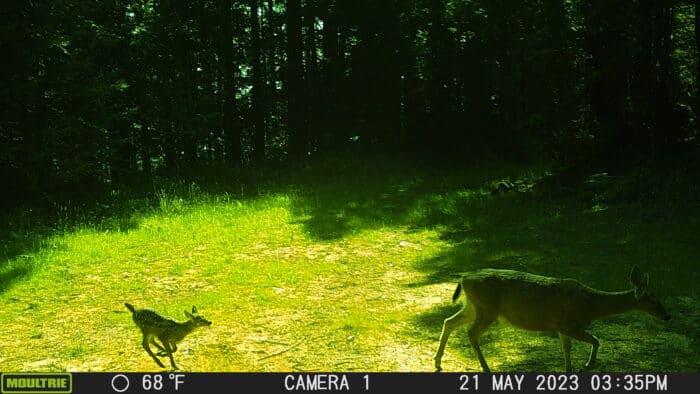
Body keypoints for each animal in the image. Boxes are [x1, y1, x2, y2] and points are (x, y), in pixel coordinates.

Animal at [434, 264, 668, 372]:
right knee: (471, 333)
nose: (667, 315)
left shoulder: (561, 327)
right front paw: (586, 366)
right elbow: (596, 340)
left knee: (449, 321)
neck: (592, 305)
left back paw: (438, 361)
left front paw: (570, 370)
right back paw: (486, 367)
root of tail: (464, 278)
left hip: (473, 306)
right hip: (487, 309)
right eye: (653, 300)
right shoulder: (570, 324)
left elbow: (567, 349)